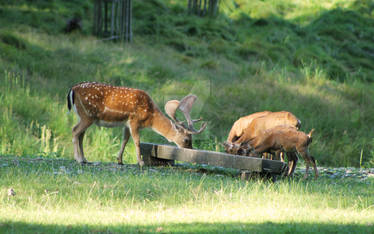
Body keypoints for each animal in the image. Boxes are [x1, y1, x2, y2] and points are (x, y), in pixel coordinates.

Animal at [67, 82, 207, 166]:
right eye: (186, 139)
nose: (192, 151)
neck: (150, 117)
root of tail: (73, 89)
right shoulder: (134, 121)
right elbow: (137, 141)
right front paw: (140, 162)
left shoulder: (126, 124)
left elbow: (124, 140)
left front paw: (120, 160)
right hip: (87, 115)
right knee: (74, 130)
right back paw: (78, 159)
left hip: (84, 116)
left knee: (80, 135)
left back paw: (84, 159)